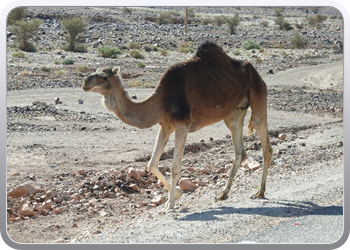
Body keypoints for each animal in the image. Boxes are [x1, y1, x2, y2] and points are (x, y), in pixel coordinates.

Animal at [82, 41, 274, 213]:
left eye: (104, 76)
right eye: (94, 71)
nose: (85, 82)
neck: (160, 101)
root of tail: (254, 70)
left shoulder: (182, 125)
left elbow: (175, 168)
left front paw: (170, 206)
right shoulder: (165, 125)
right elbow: (151, 164)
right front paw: (177, 195)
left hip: (258, 91)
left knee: (265, 143)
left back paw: (260, 192)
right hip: (234, 113)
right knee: (240, 150)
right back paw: (223, 194)